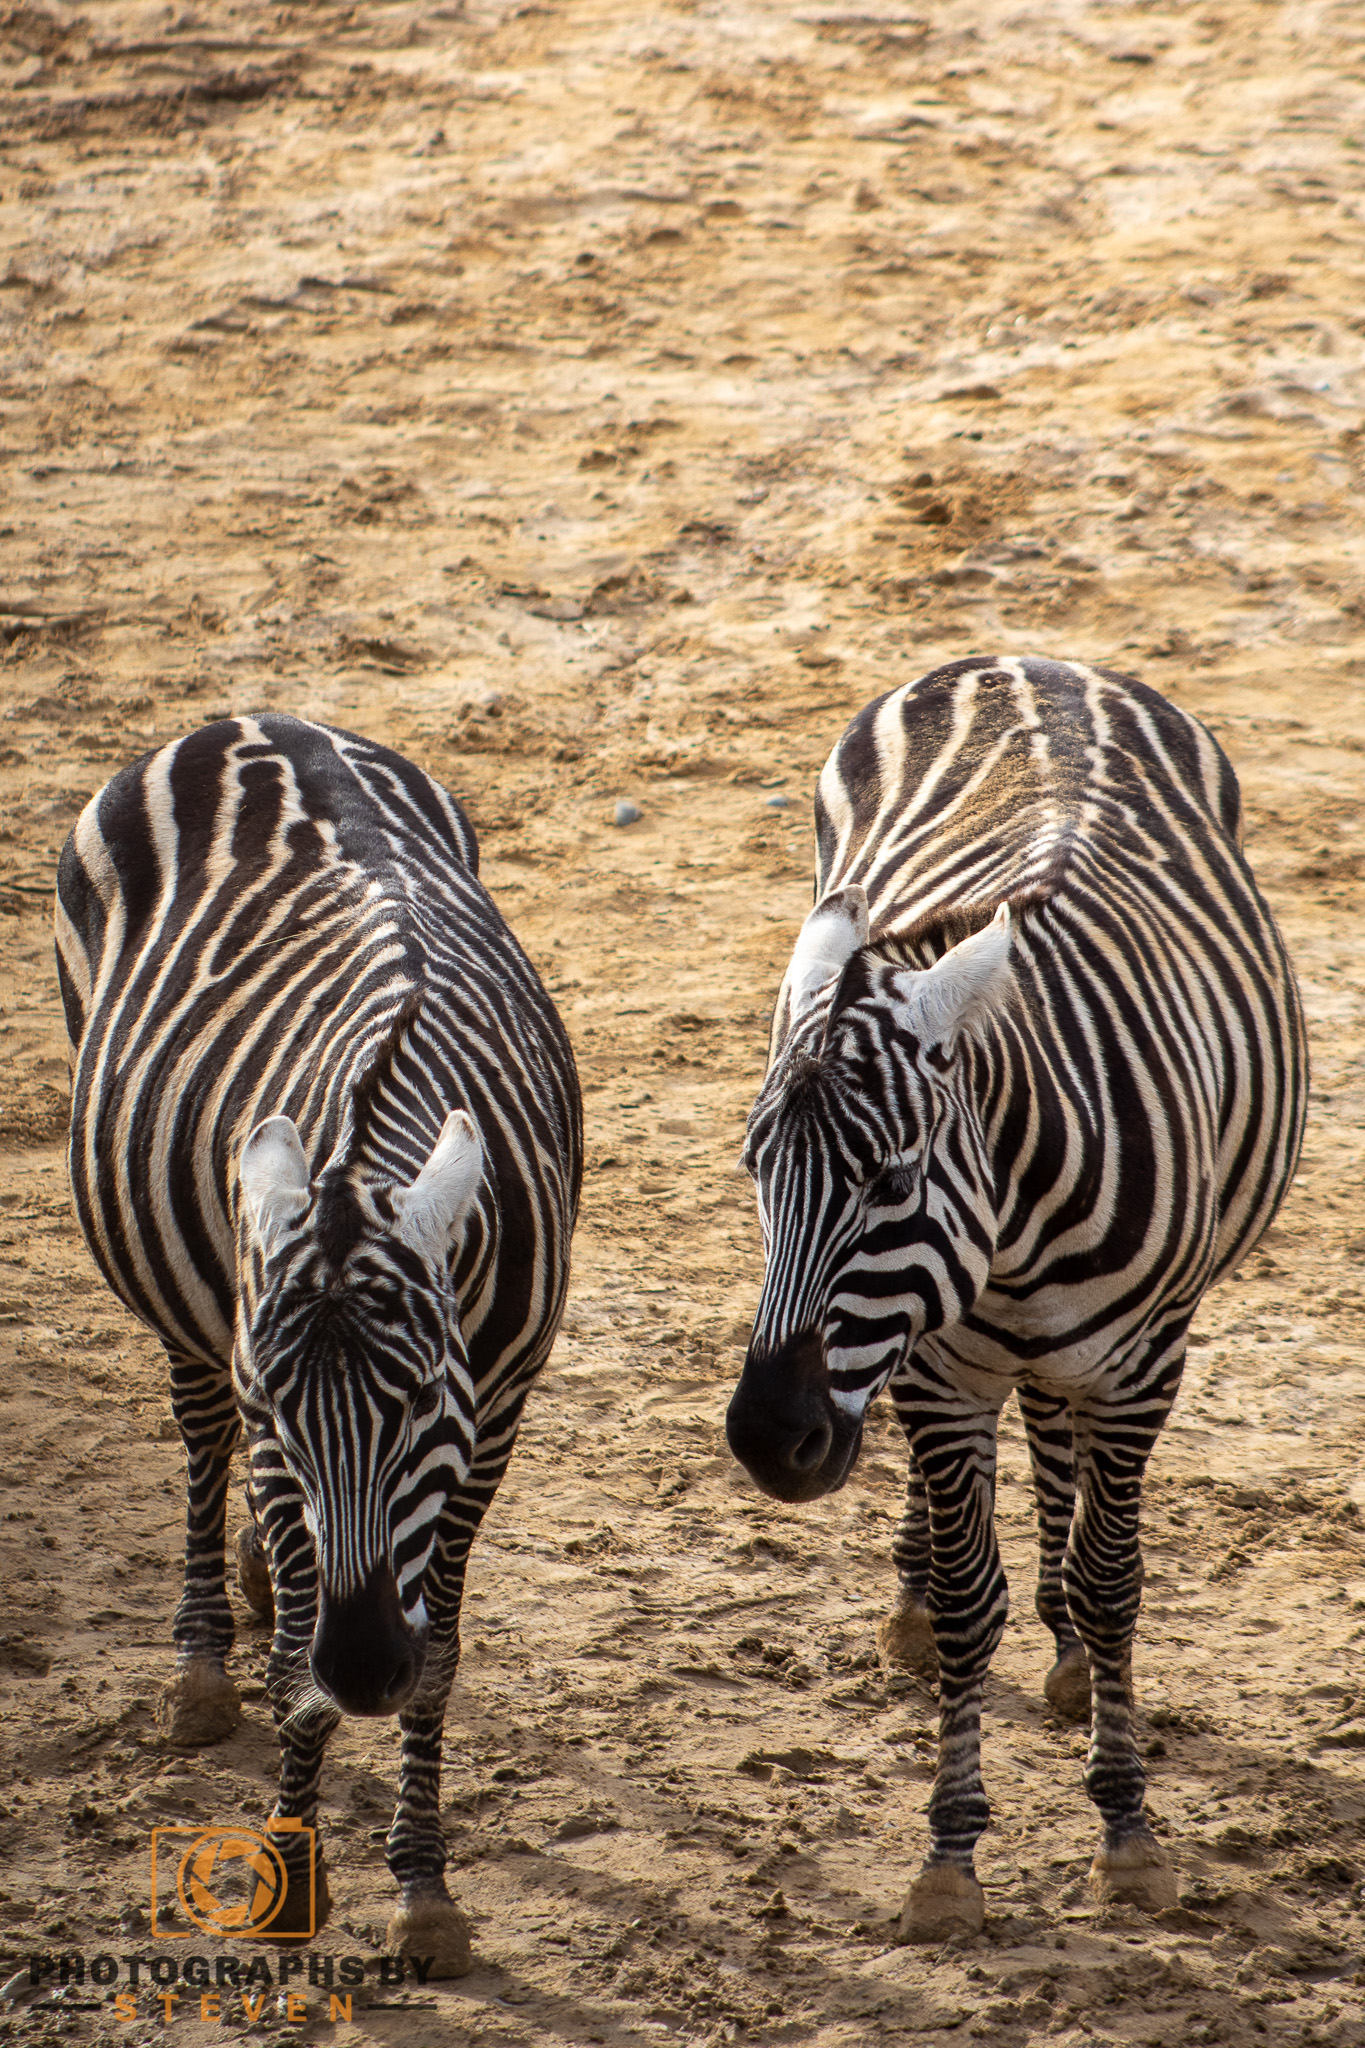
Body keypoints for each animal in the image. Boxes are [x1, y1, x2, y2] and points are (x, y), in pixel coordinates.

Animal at [54, 714, 581, 1973]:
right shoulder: (266, 1415)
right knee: (197, 1433)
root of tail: (258, 718)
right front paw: (292, 1868)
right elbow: (295, 1647)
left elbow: (441, 1651)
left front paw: (424, 1890)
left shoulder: (496, 1418)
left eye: (427, 1404)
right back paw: (203, 1663)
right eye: (282, 1412)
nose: (365, 1668)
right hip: (188, 1297)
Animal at [725, 656, 1305, 1941]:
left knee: (1061, 1456)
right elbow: (963, 1598)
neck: (1017, 1227)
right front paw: (949, 1856)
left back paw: (1077, 1656)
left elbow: (1112, 1579)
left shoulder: (1142, 1368)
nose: (770, 1439)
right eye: (754, 1173)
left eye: (892, 1179)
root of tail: (1026, 662)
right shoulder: (941, 1371)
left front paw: (1128, 1832)